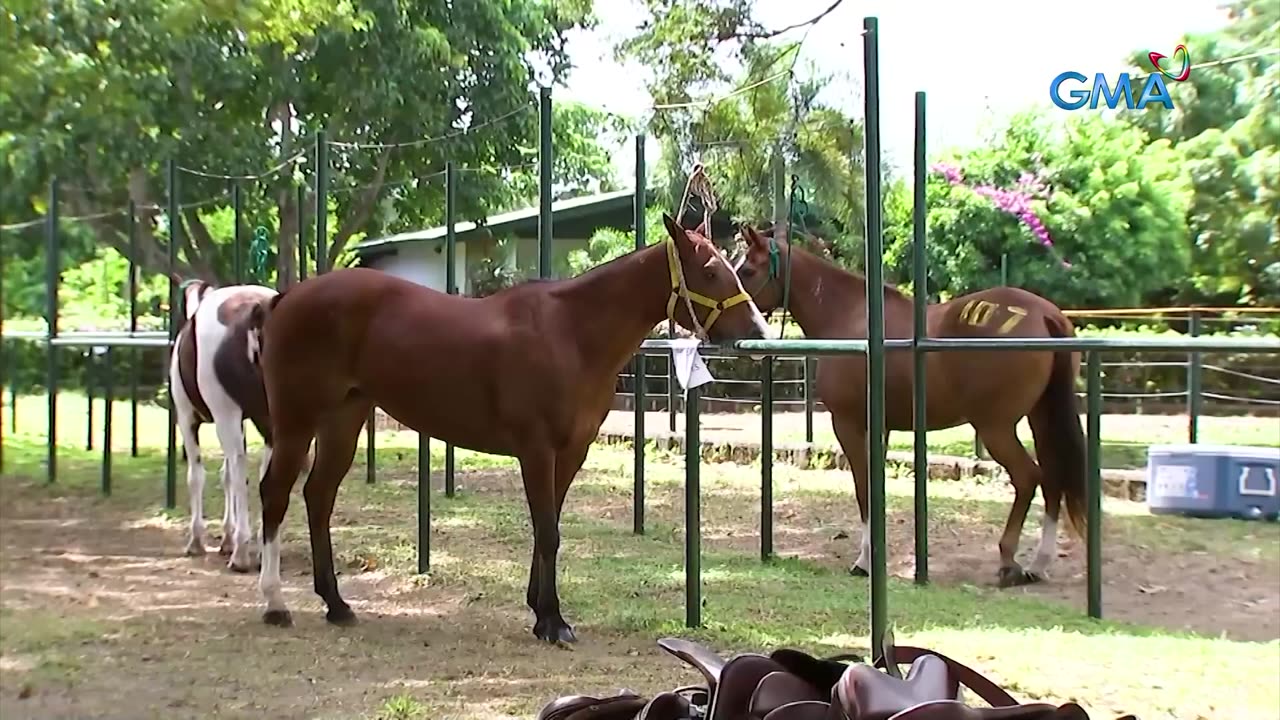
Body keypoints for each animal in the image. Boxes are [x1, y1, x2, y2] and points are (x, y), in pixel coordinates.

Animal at [168, 280, 279, 571]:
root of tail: (257, 314)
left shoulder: (187, 418)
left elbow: (197, 476)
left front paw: (197, 540)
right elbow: (225, 475)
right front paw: (227, 538)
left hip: (225, 414)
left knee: (241, 471)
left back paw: (240, 552)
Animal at [248, 212, 768, 638]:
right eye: (710, 271)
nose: (759, 333)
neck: (571, 332)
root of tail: (286, 298)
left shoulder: (571, 451)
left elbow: (549, 527)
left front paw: (540, 610)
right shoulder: (536, 449)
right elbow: (547, 531)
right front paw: (553, 621)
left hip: (343, 418)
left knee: (319, 495)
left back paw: (336, 603)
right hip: (296, 420)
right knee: (276, 493)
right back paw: (275, 604)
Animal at [737, 226, 1085, 586]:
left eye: (746, 270)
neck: (850, 317)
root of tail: (1043, 314)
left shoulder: (848, 424)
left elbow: (863, 488)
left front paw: (864, 562)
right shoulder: (880, 426)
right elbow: (875, 487)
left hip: (995, 427)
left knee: (1028, 477)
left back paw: (1009, 562)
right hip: (1040, 417)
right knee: (1053, 478)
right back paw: (1038, 563)